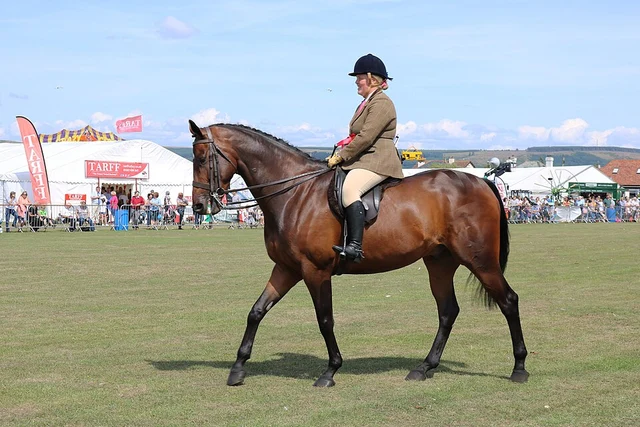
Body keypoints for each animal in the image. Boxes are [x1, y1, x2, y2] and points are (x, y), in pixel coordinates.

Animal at [189, 120, 529, 387]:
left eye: (202, 158)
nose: (198, 207)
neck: (295, 194)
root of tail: (482, 182)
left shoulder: (315, 271)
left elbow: (325, 319)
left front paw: (330, 371)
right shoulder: (286, 269)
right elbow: (256, 311)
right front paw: (238, 368)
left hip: (480, 261)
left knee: (508, 301)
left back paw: (519, 367)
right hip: (440, 263)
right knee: (448, 311)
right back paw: (424, 367)